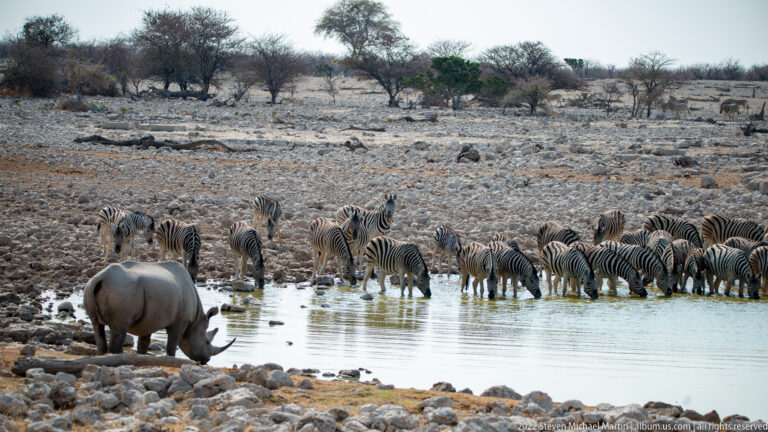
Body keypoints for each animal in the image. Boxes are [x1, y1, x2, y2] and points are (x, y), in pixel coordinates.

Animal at [84, 261, 234, 364]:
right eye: (207, 342)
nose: (206, 360)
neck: (196, 322)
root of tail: (101, 277)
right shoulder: (181, 321)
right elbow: (171, 346)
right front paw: (172, 360)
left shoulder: (148, 322)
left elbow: (143, 345)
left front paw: (142, 359)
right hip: (122, 289)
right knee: (120, 329)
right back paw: (119, 357)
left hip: (91, 286)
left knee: (97, 325)